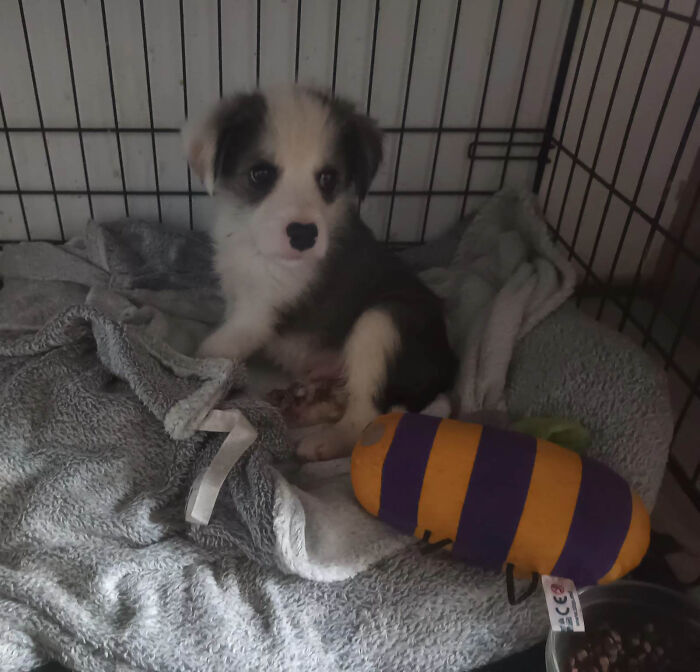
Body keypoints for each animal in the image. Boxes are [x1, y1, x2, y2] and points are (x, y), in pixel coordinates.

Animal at [186, 86, 456, 460]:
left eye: (327, 178)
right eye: (260, 174)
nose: (303, 235)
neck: (256, 245)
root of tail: (448, 365)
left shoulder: (256, 317)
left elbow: (210, 351)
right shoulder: (237, 297)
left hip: (383, 321)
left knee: (366, 417)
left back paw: (324, 442)